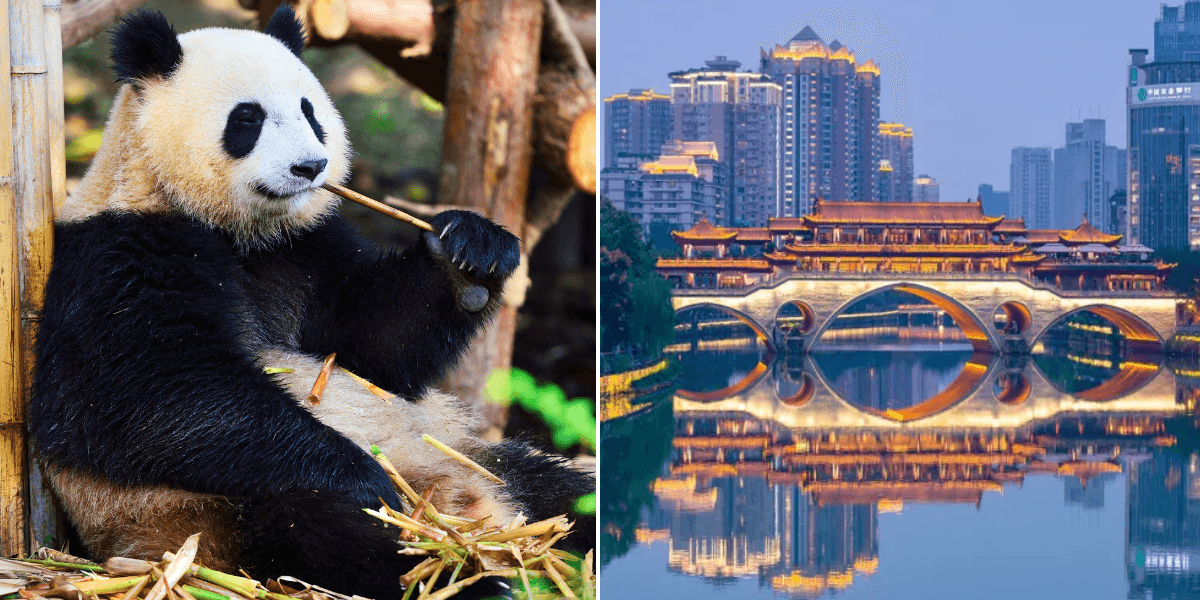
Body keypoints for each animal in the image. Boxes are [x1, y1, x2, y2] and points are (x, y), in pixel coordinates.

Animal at [29, 7, 594, 600]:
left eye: (309, 111)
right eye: (247, 119)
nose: (310, 167)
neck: (233, 230)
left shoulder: (305, 251)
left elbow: (377, 349)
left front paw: (470, 255)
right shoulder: (115, 260)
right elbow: (156, 394)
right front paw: (363, 475)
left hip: (463, 451)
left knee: (556, 487)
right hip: (202, 513)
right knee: (319, 529)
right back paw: (457, 568)